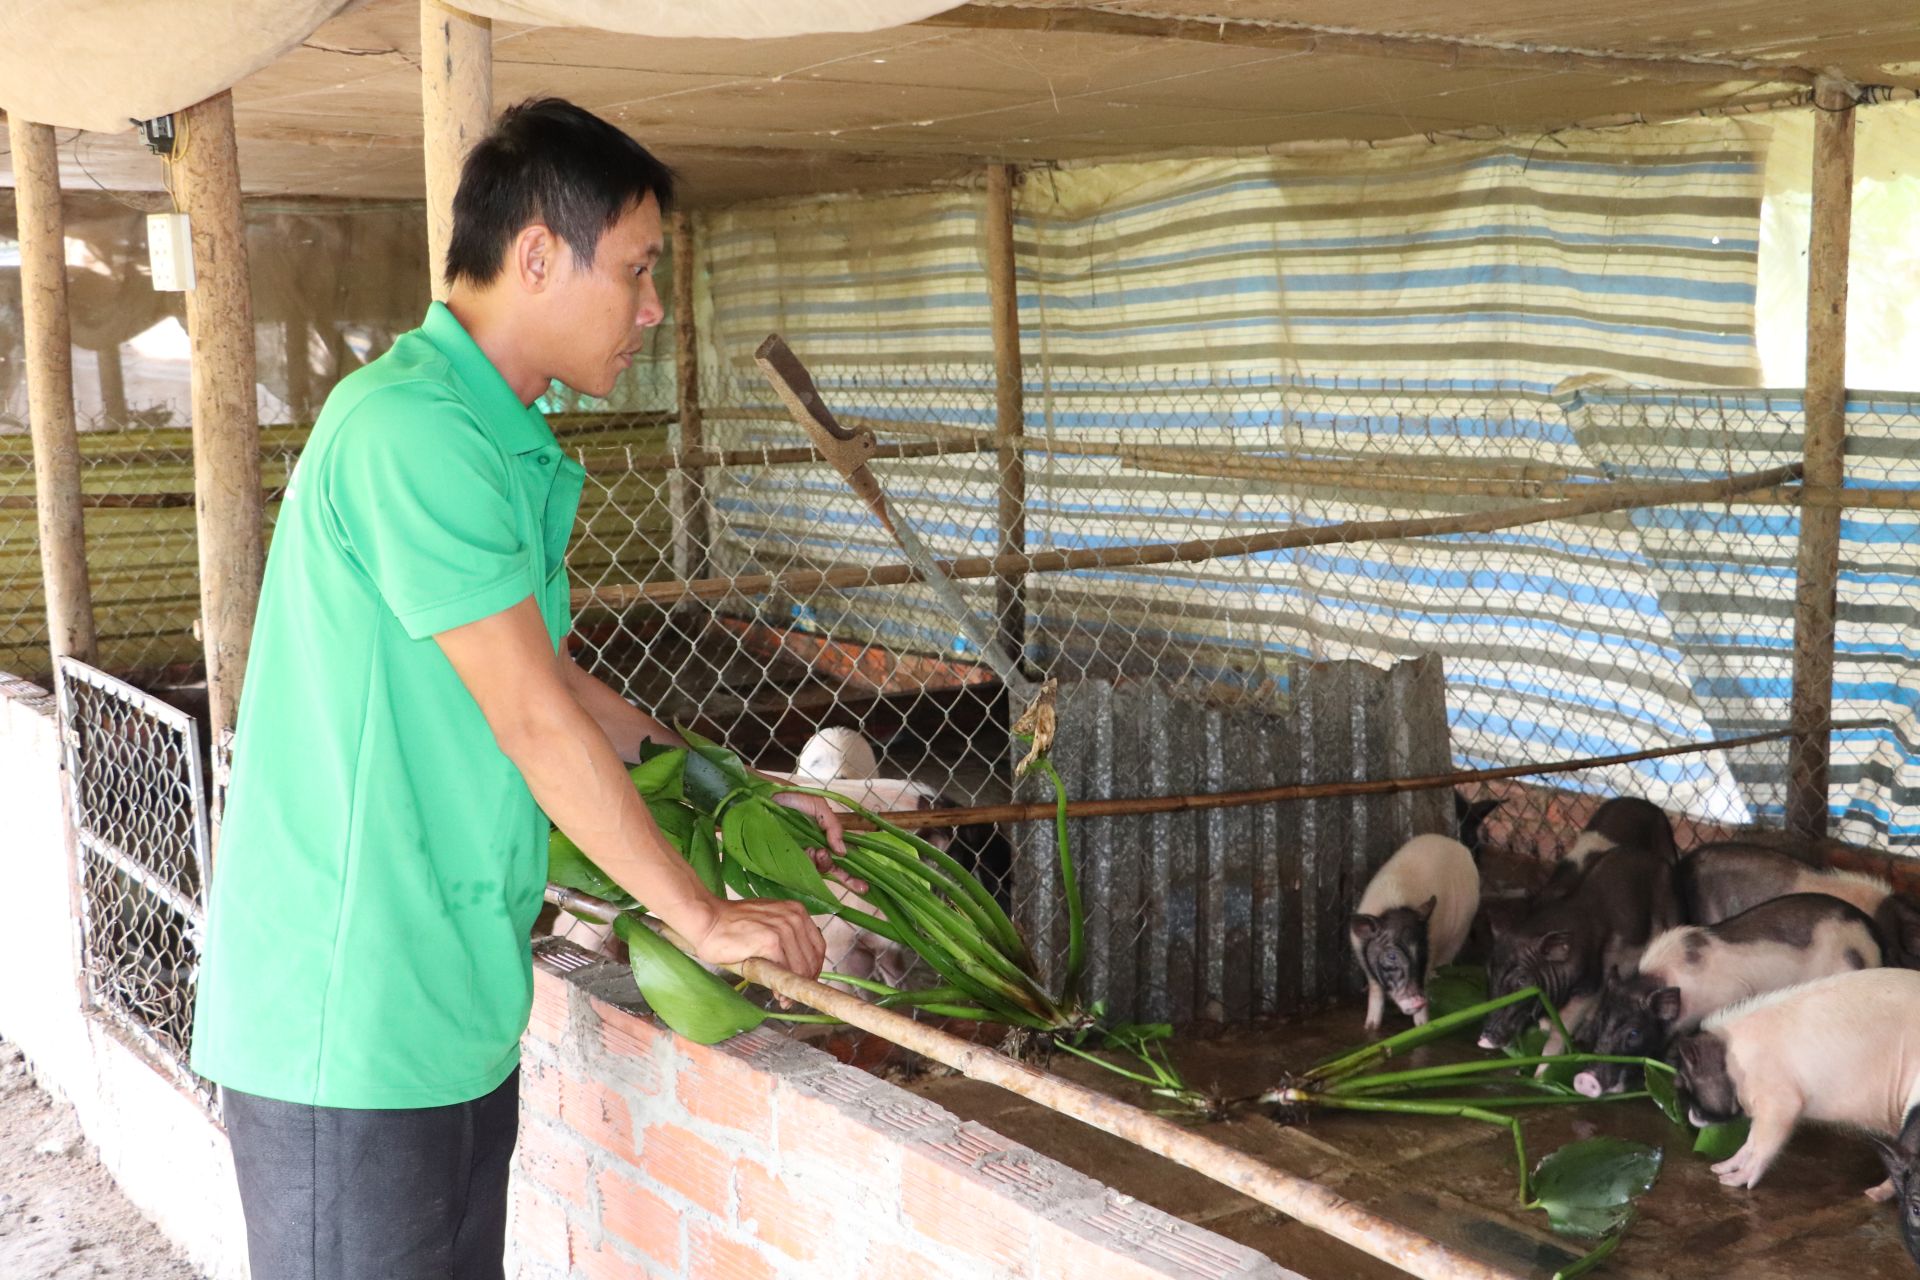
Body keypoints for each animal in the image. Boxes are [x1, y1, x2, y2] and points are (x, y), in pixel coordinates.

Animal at [1351, 836, 1482, 1036]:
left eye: (1422, 952)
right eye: (1391, 955)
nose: (1418, 1000)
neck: (1394, 904)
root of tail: (1459, 846)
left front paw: (1422, 1028)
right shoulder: (1364, 960)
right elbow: (1375, 993)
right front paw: (1370, 1027)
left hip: (1460, 932)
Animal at [1674, 967, 1920, 1197]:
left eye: (1685, 1082)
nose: (1690, 1116)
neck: (1736, 1063)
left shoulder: (1781, 1100)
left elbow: (1762, 1143)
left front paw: (1731, 1182)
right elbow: (1749, 1143)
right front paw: (1718, 1168)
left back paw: (1872, 1194)